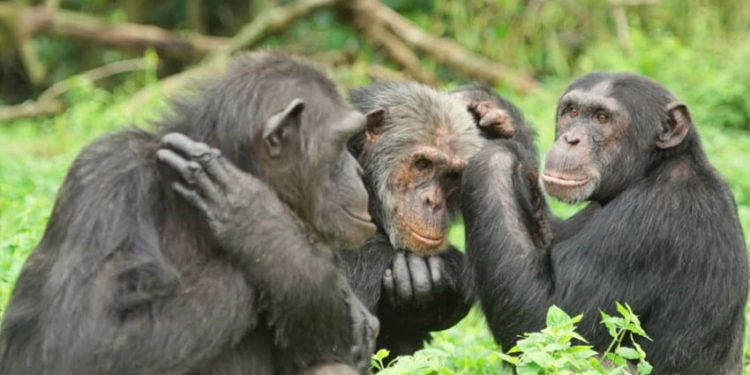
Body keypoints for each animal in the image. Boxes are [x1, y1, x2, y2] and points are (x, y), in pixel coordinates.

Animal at [0, 53, 376, 375]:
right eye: (343, 143)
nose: (359, 171)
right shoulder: (109, 175)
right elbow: (83, 338)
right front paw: (308, 269)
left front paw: (259, 221)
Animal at [468, 72, 748, 374]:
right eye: (572, 112)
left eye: (602, 118)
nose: (571, 139)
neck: (652, 168)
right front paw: (499, 117)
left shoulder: (650, 221)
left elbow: (548, 319)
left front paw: (495, 154)